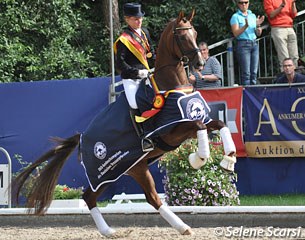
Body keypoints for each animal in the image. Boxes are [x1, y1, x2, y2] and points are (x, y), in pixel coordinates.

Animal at [12, 10, 235, 236]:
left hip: (123, 169)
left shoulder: (191, 122)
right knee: (146, 198)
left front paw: (228, 159)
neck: (173, 86)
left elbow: (219, 124)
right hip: (122, 170)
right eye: (181, 36)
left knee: (95, 196)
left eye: (195, 33)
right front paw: (198, 159)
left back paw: (117, 231)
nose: (199, 63)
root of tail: (82, 137)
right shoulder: (172, 130)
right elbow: (200, 127)